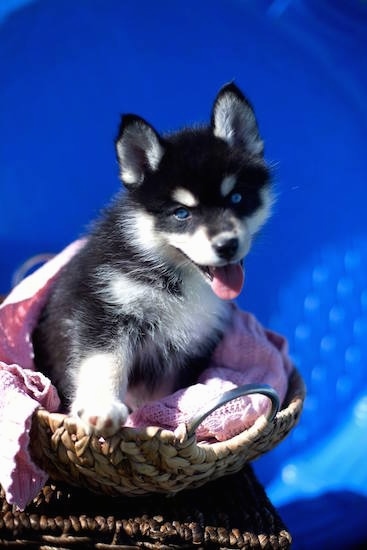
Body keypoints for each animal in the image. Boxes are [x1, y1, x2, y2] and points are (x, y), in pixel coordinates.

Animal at [32, 83, 274, 436]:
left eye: (237, 198)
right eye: (181, 213)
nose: (227, 245)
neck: (178, 279)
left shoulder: (190, 345)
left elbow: (163, 394)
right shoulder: (103, 309)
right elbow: (104, 361)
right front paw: (102, 407)